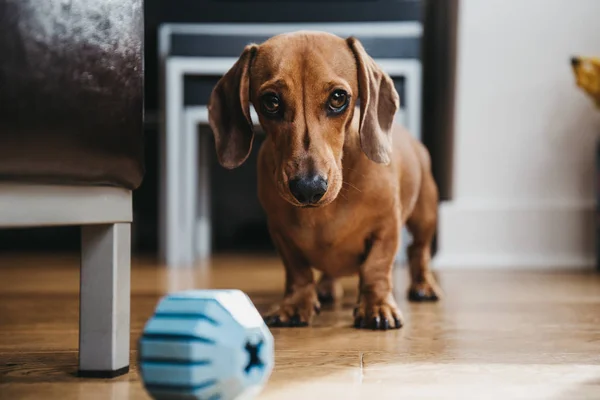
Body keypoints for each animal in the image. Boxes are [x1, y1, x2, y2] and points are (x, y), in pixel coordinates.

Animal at [209, 32, 442, 332]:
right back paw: (326, 288)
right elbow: (298, 272)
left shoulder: (387, 227)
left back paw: (424, 285)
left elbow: (376, 268)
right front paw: (295, 305)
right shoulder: (281, 233)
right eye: (271, 101)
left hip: (425, 214)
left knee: (418, 251)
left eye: (338, 98)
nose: (308, 189)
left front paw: (377, 307)